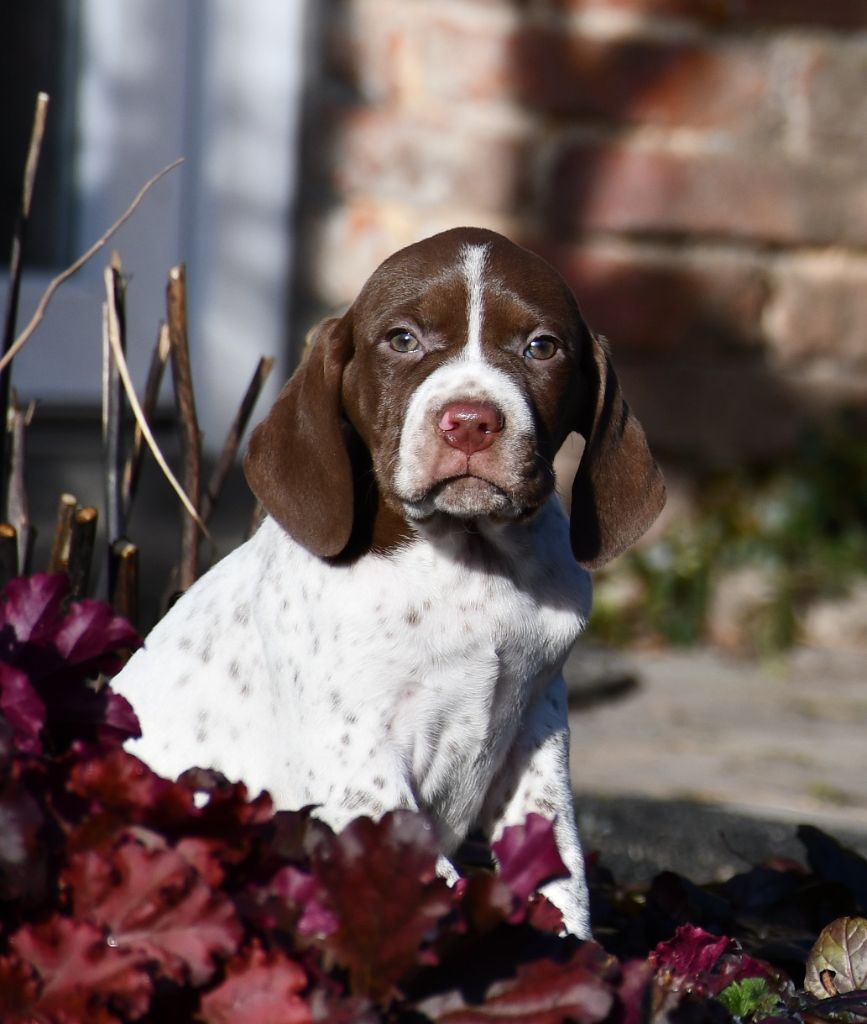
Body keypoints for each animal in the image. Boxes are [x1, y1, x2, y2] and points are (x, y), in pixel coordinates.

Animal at [110, 226, 663, 937]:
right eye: (403, 340)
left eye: (541, 347)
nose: (470, 422)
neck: (469, 561)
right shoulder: (358, 763)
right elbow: (435, 881)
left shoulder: (538, 728)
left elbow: (559, 866)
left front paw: (573, 953)